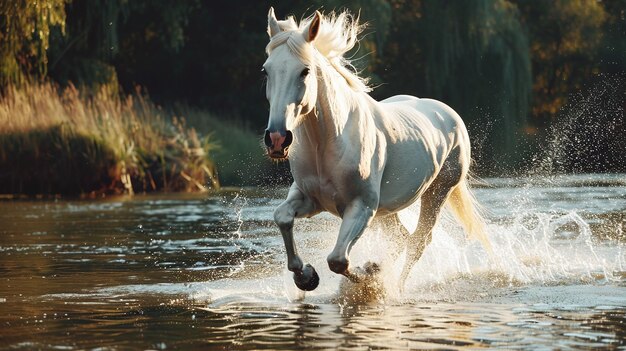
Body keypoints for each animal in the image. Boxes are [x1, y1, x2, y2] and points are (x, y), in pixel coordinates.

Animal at [260, 9, 486, 292]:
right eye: (266, 71)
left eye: (305, 71)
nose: (277, 139)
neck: (328, 143)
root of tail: (448, 113)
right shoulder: (310, 198)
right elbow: (282, 217)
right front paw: (306, 276)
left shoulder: (361, 208)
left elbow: (338, 260)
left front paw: (370, 276)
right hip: (387, 211)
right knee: (402, 238)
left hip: (437, 192)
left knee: (417, 241)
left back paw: (396, 288)